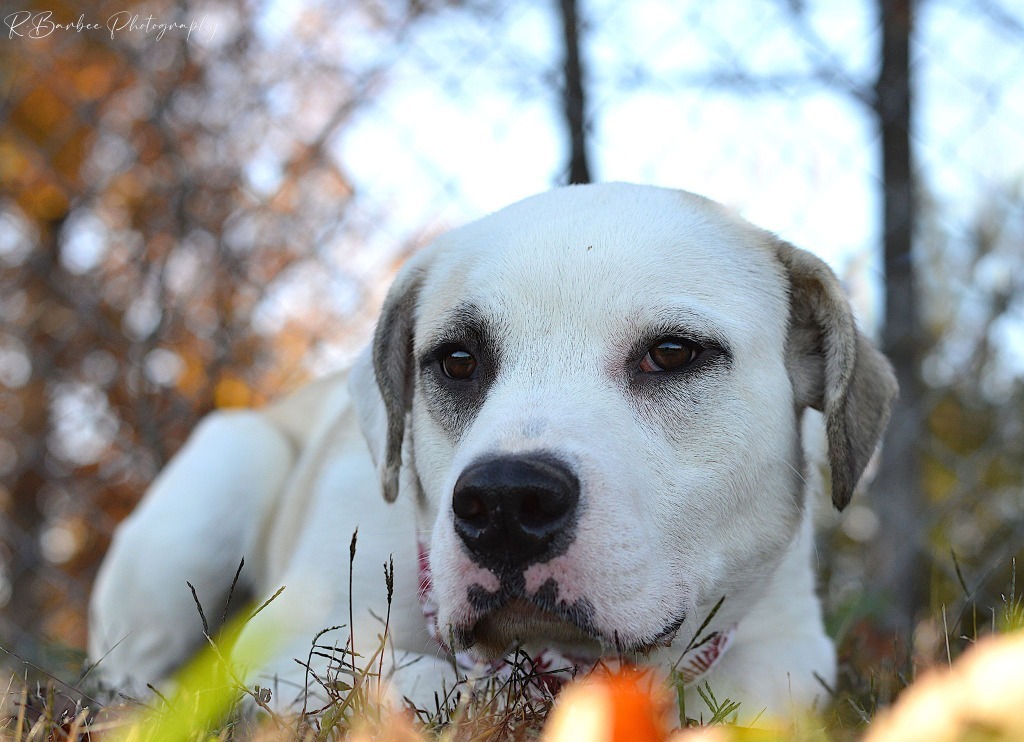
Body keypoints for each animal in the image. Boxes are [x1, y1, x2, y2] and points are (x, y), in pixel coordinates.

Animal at [90, 182, 897, 720]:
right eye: (456, 361)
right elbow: (401, 681)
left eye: (673, 354)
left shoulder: (791, 658)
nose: (506, 500)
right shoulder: (288, 640)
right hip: (225, 475)